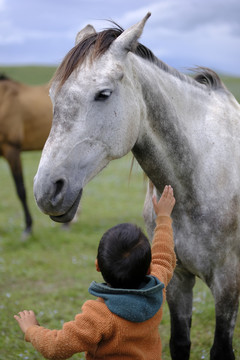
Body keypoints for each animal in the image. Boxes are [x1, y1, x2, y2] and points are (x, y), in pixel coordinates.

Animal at [33, 13, 240, 360]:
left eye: (103, 94)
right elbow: (179, 343)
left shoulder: (228, 283)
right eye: (52, 97)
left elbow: (221, 349)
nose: (47, 191)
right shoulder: (177, 278)